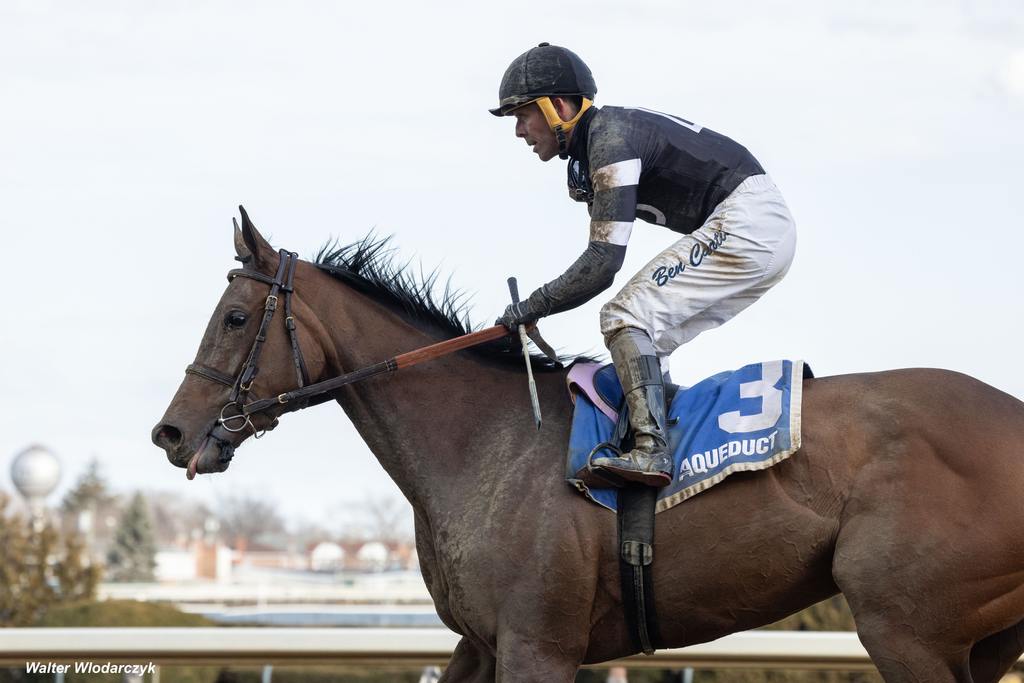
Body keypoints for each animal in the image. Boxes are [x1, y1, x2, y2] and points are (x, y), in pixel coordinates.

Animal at [151, 210, 1024, 679]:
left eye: (234, 317)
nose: (172, 431)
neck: (484, 441)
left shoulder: (539, 643)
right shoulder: (482, 640)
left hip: (903, 624)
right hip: (978, 636)